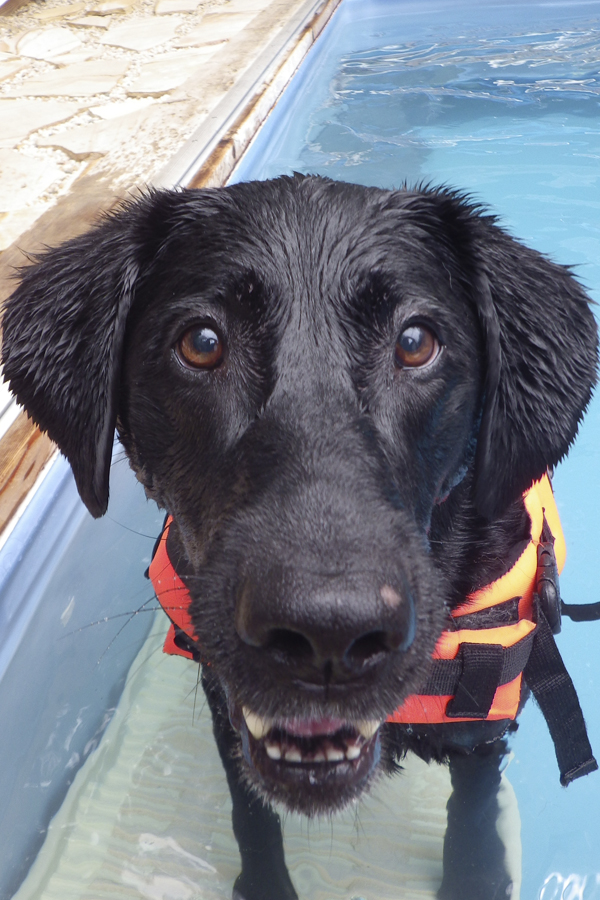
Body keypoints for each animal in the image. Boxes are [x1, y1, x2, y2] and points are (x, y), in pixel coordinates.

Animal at [2, 176, 596, 900]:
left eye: (416, 342)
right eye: (202, 342)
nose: (327, 634)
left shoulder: (481, 730)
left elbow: (474, 819)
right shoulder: (225, 703)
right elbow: (250, 811)